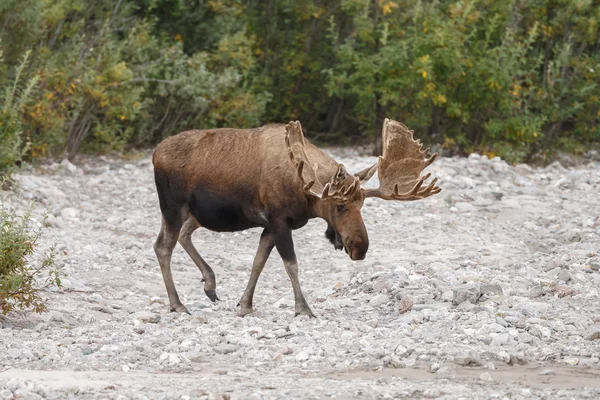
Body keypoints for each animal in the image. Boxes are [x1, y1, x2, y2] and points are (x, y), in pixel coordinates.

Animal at [150, 117, 440, 318]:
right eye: (340, 206)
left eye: (363, 204)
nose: (360, 248)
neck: (305, 190)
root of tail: (154, 154)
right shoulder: (279, 220)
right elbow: (291, 265)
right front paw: (303, 307)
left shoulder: (270, 225)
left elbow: (258, 263)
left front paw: (245, 305)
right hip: (173, 206)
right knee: (163, 246)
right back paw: (177, 303)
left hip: (194, 213)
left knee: (182, 236)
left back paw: (209, 284)